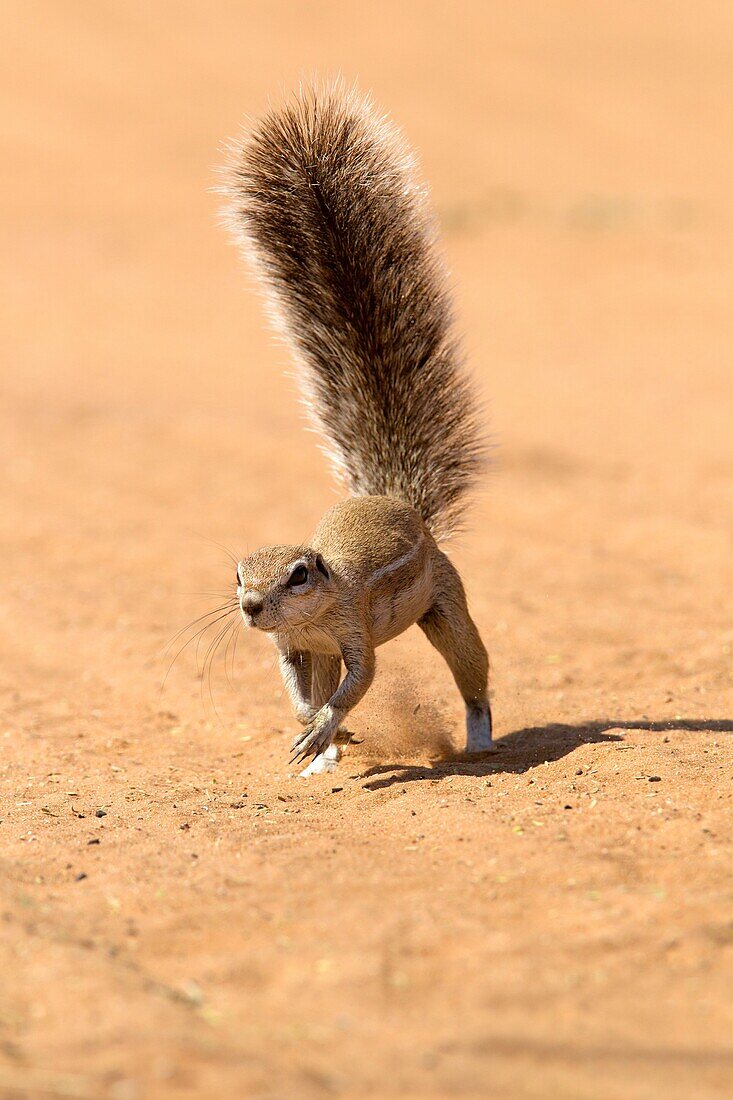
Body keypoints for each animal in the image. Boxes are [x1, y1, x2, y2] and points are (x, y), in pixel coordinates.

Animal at [222, 83, 490, 774]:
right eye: (238, 576)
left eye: (299, 574)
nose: (252, 607)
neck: (313, 612)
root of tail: (396, 501)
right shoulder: (294, 647)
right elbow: (301, 695)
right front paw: (315, 732)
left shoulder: (352, 631)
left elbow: (360, 682)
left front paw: (326, 726)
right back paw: (326, 757)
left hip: (447, 602)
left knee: (472, 671)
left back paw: (480, 739)